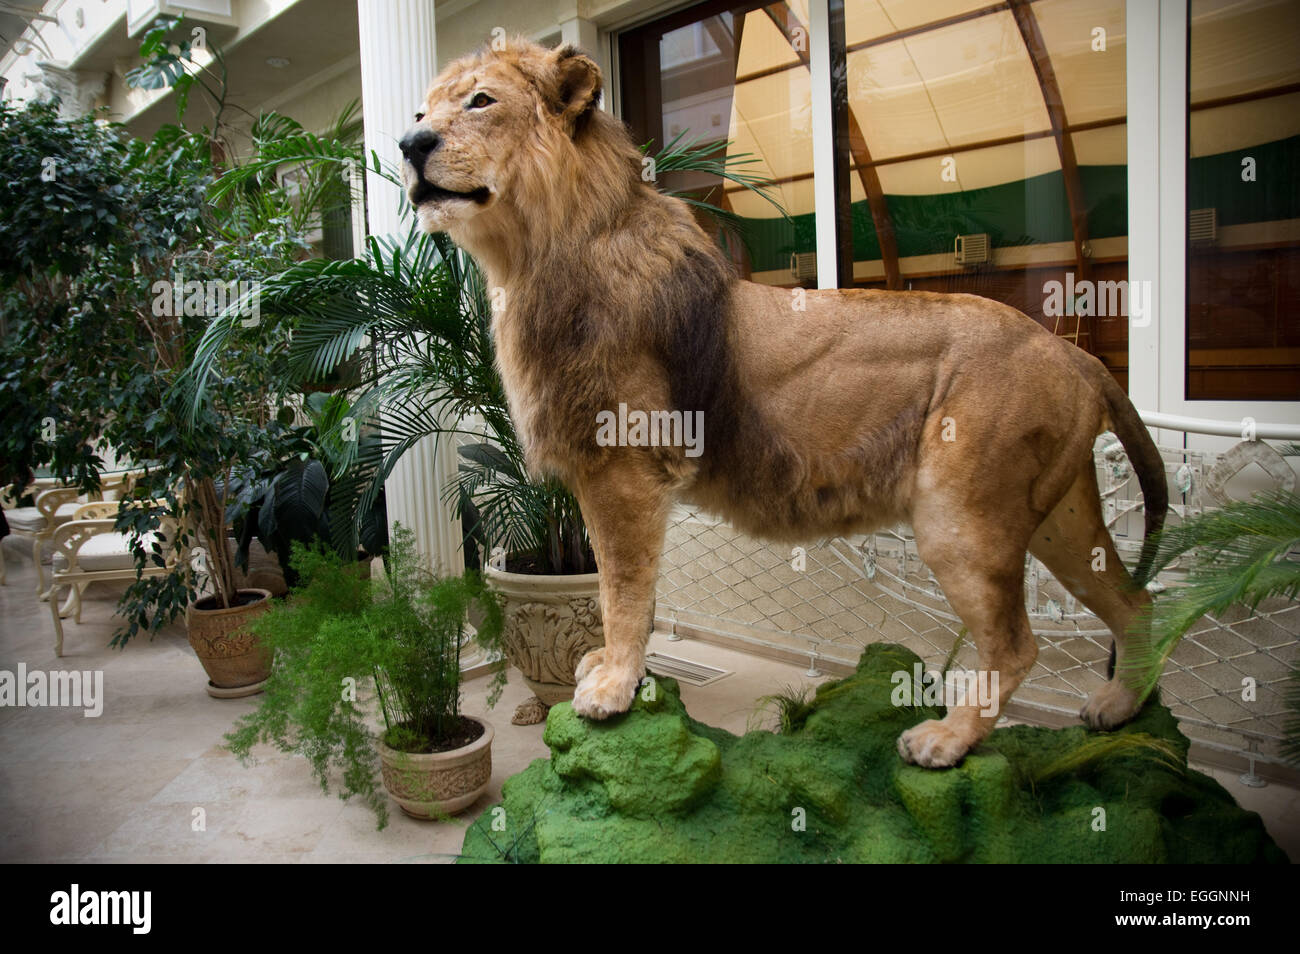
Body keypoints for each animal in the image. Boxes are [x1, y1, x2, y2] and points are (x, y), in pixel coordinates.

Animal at [397, 41, 1170, 769]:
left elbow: (622, 590)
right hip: (1061, 517)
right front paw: (608, 670)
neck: (530, 259)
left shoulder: (625, 468)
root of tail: (1074, 353)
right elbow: (627, 591)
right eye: (421, 111)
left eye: (479, 101)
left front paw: (613, 687)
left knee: (1016, 645)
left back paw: (946, 741)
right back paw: (1117, 709)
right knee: (1137, 603)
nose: (408, 144)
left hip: (962, 519)